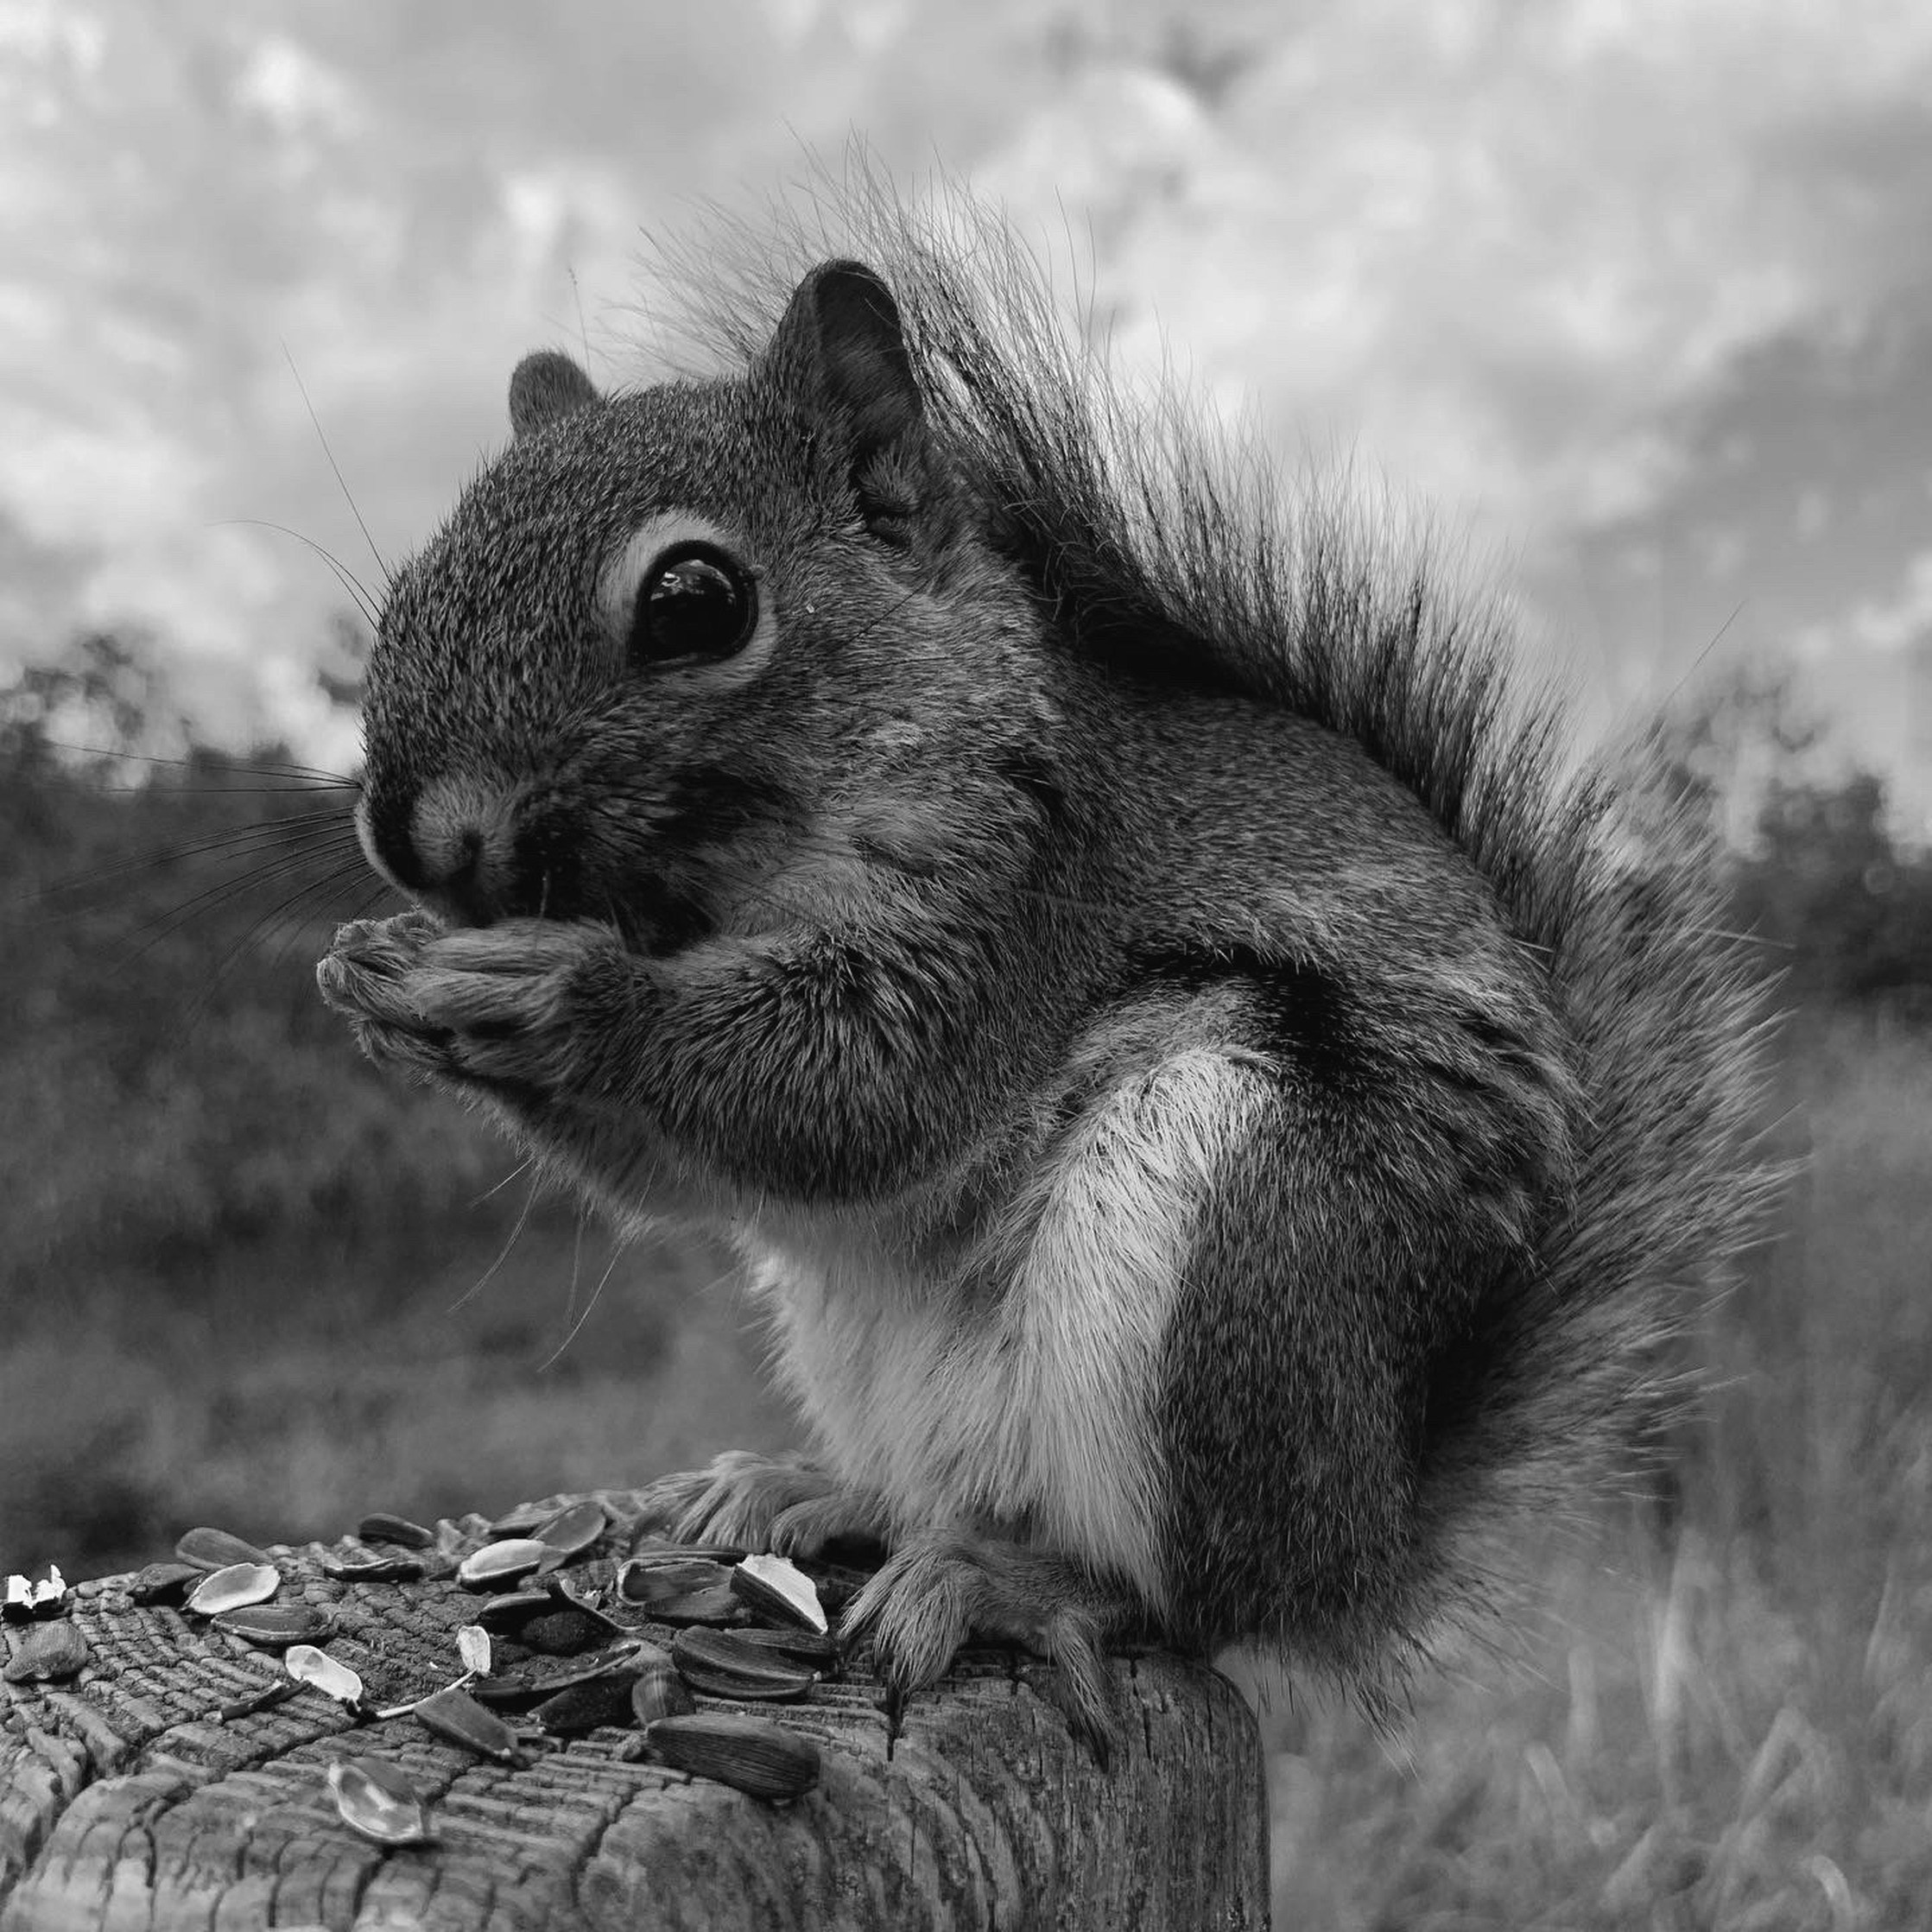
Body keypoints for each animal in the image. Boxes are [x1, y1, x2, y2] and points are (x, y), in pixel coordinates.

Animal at [315, 179, 1769, 1754]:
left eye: (695, 601)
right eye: (414, 575)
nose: (409, 833)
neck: (719, 891)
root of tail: (1364, 1546)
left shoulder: (1021, 898)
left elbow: (856, 1096)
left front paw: (559, 992)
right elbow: (686, 1174)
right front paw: (379, 972)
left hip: (1221, 1229)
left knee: (1185, 1601)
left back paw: (1023, 1583)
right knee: (946, 1491)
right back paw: (814, 1494)